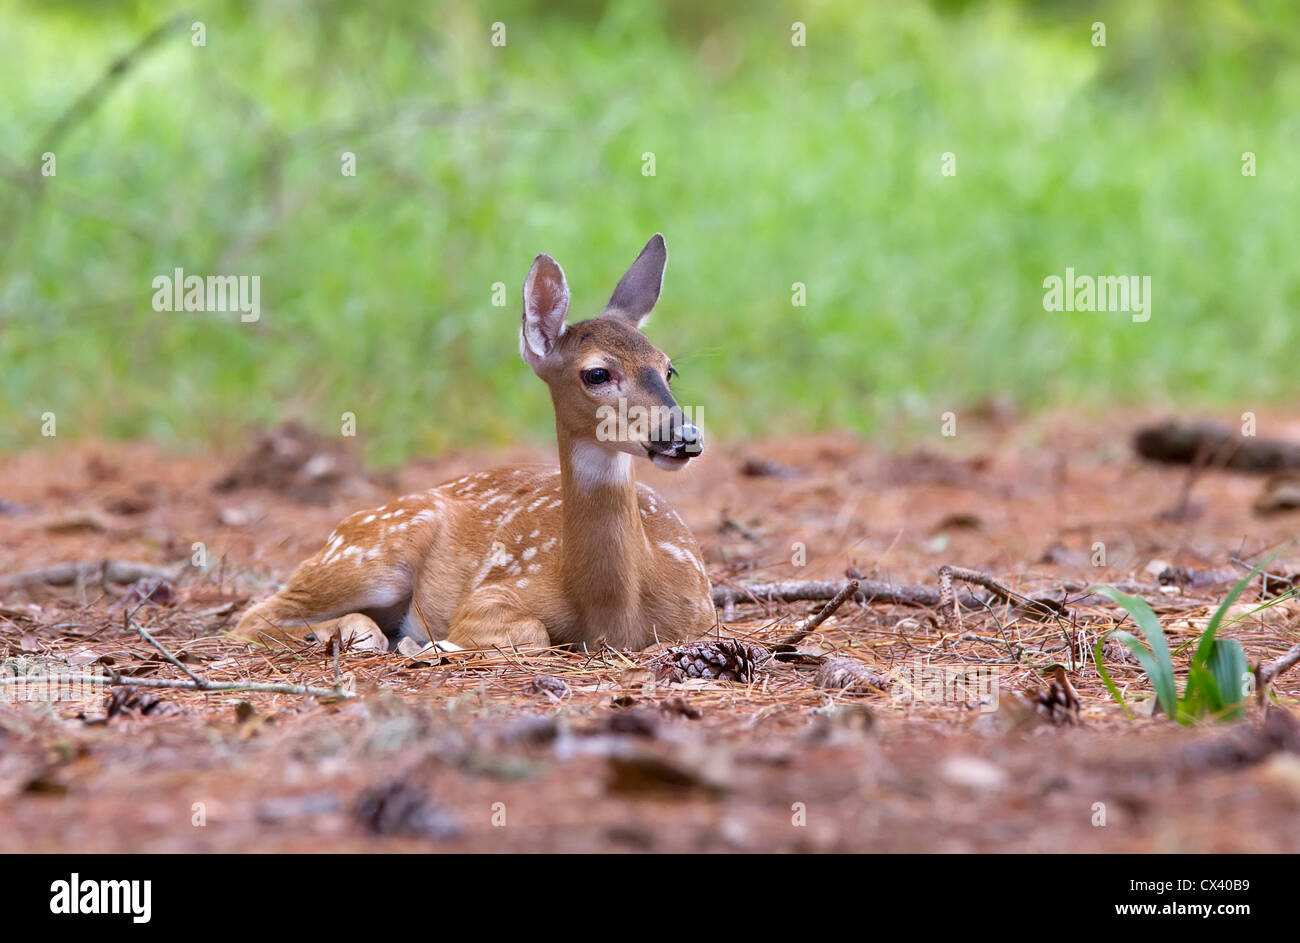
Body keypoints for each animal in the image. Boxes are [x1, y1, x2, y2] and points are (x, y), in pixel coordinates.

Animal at [231, 234, 715, 654]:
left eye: (668, 369)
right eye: (597, 373)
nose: (685, 436)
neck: (615, 615)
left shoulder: (703, 616)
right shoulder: (492, 593)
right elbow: (531, 632)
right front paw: (435, 643)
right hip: (368, 551)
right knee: (253, 618)